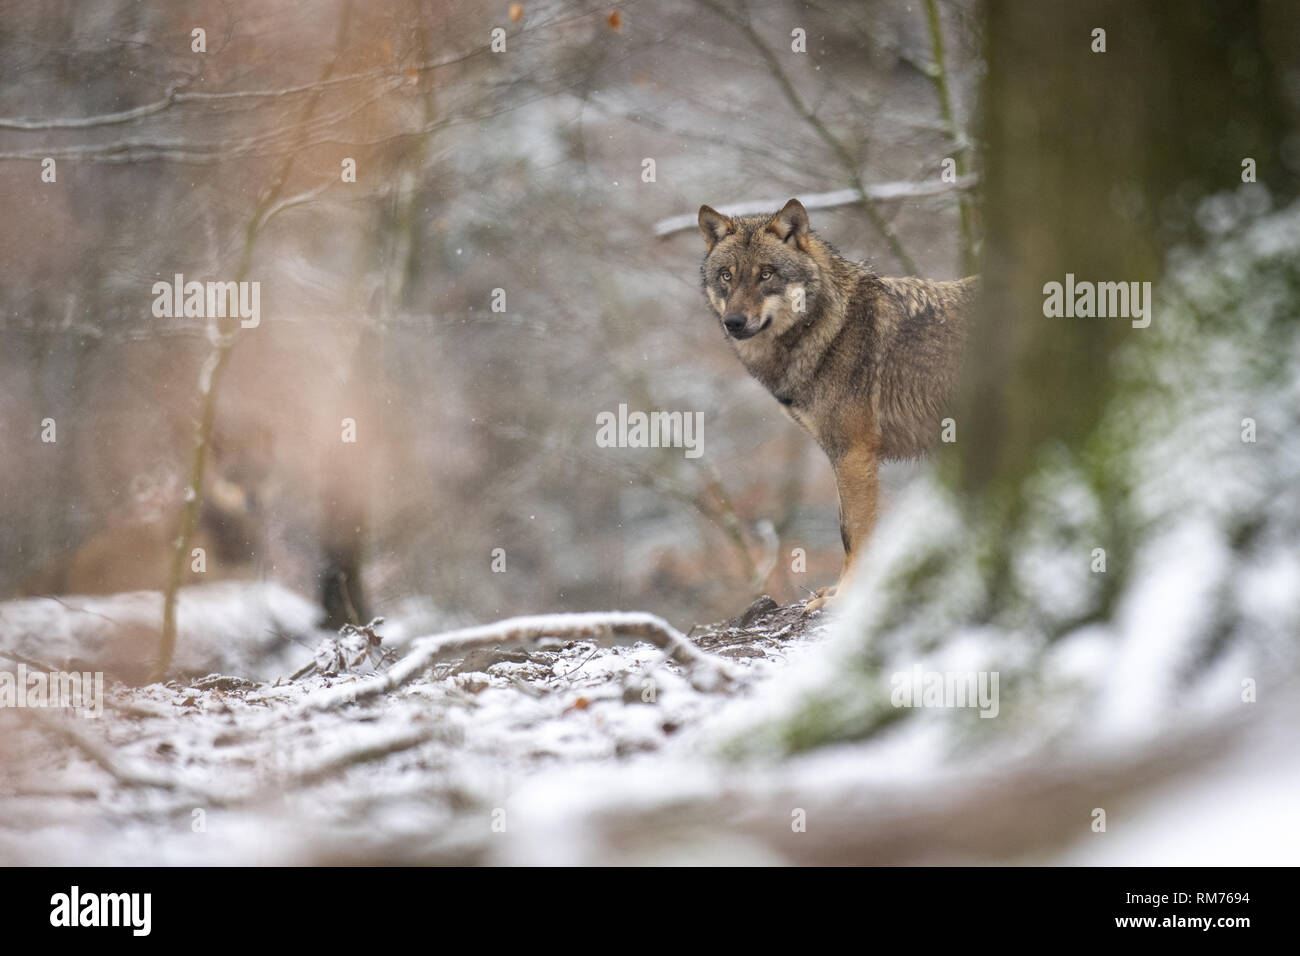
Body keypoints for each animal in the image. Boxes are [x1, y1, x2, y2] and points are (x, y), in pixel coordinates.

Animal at [702, 200, 977, 613]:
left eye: (766, 274)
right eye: (726, 276)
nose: (733, 322)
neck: (830, 328)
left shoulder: (853, 453)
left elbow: (854, 532)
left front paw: (847, 597)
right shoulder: (838, 454)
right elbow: (845, 527)